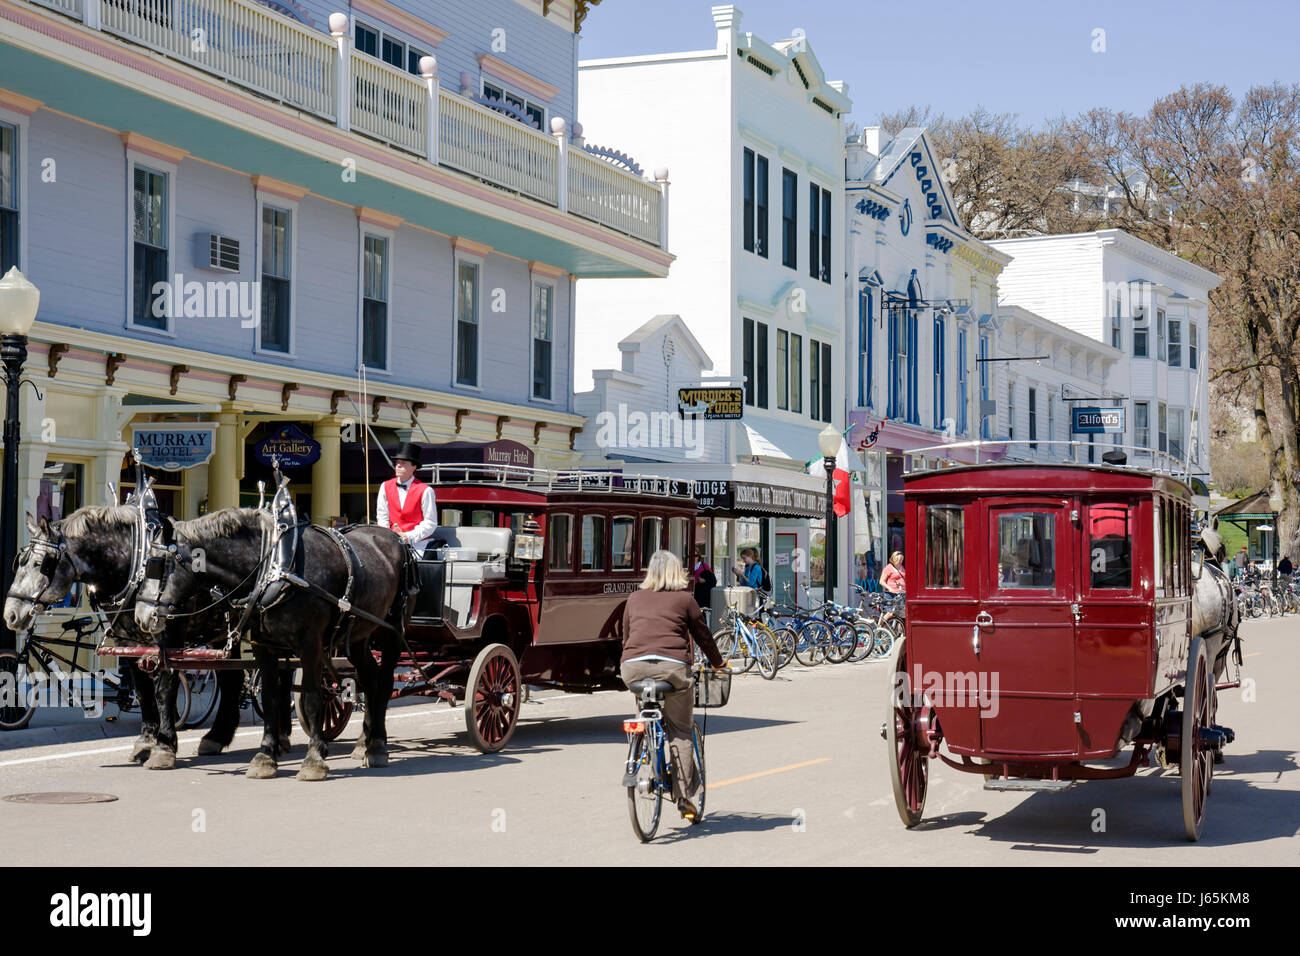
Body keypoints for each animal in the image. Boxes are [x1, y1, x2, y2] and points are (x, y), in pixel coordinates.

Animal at [3, 509, 248, 770]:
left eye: (40, 564)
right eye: (20, 561)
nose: (10, 614)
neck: (133, 568)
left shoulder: (169, 640)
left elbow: (164, 691)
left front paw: (164, 747)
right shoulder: (128, 643)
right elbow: (143, 691)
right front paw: (146, 743)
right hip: (222, 632)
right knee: (233, 678)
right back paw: (217, 737)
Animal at [134, 512, 408, 780]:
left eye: (157, 565)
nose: (141, 616)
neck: (276, 570)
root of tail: (395, 538)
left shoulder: (311, 645)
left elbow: (312, 697)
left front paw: (314, 759)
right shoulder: (263, 646)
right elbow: (270, 696)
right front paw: (266, 755)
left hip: (392, 630)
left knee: (384, 682)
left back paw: (377, 746)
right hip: (359, 635)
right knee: (370, 679)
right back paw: (366, 742)